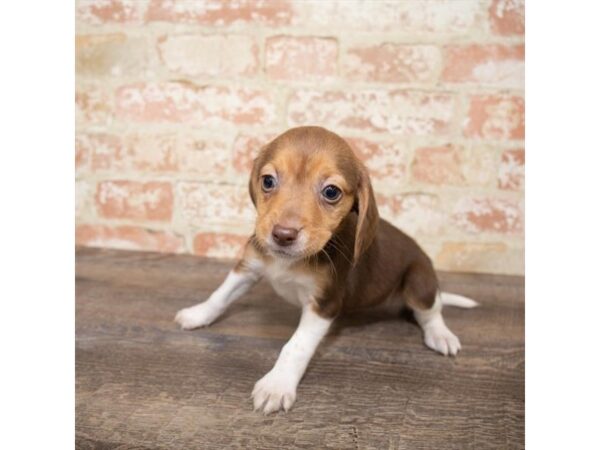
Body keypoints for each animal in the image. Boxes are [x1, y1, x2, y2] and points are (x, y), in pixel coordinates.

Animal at [175, 125, 478, 414]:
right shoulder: (248, 267)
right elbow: (220, 295)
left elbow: (296, 346)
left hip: (419, 281)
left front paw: (277, 384)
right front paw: (197, 314)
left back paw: (441, 334)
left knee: (431, 311)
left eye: (331, 192)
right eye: (268, 181)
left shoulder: (324, 303)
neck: (291, 262)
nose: (283, 235)